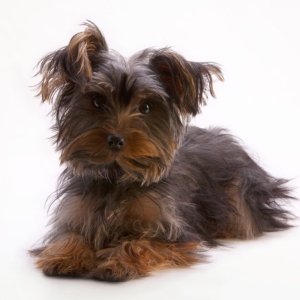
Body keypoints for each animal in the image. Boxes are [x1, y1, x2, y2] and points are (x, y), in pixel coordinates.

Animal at [30, 21, 292, 282]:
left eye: (146, 107)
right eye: (97, 101)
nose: (116, 140)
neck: (117, 176)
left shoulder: (173, 231)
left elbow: (141, 242)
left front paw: (119, 261)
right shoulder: (75, 213)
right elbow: (68, 235)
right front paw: (65, 255)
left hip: (240, 195)